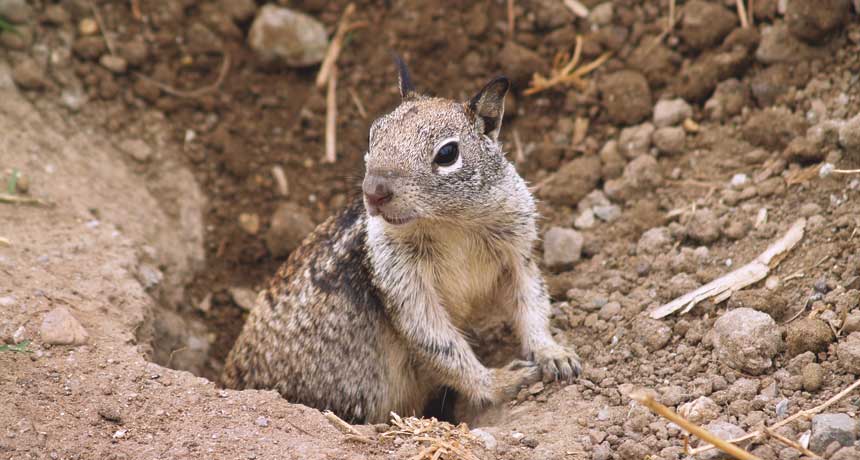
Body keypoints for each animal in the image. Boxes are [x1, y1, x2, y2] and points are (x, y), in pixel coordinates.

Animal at [222, 58, 581, 424]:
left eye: (448, 153)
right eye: (373, 134)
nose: (373, 191)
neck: (449, 224)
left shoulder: (518, 249)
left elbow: (532, 301)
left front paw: (555, 354)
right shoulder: (402, 281)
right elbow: (439, 343)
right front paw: (503, 380)